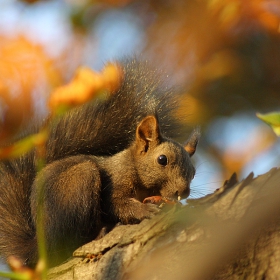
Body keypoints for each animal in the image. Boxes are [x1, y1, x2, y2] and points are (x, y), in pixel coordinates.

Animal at [0, 59, 199, 266]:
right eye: (162, 159)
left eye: (194, 172)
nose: (183, 192)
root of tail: (39, 250)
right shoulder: (116, 181)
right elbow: (117, 204)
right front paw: (144, 210)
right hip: (79, 182)